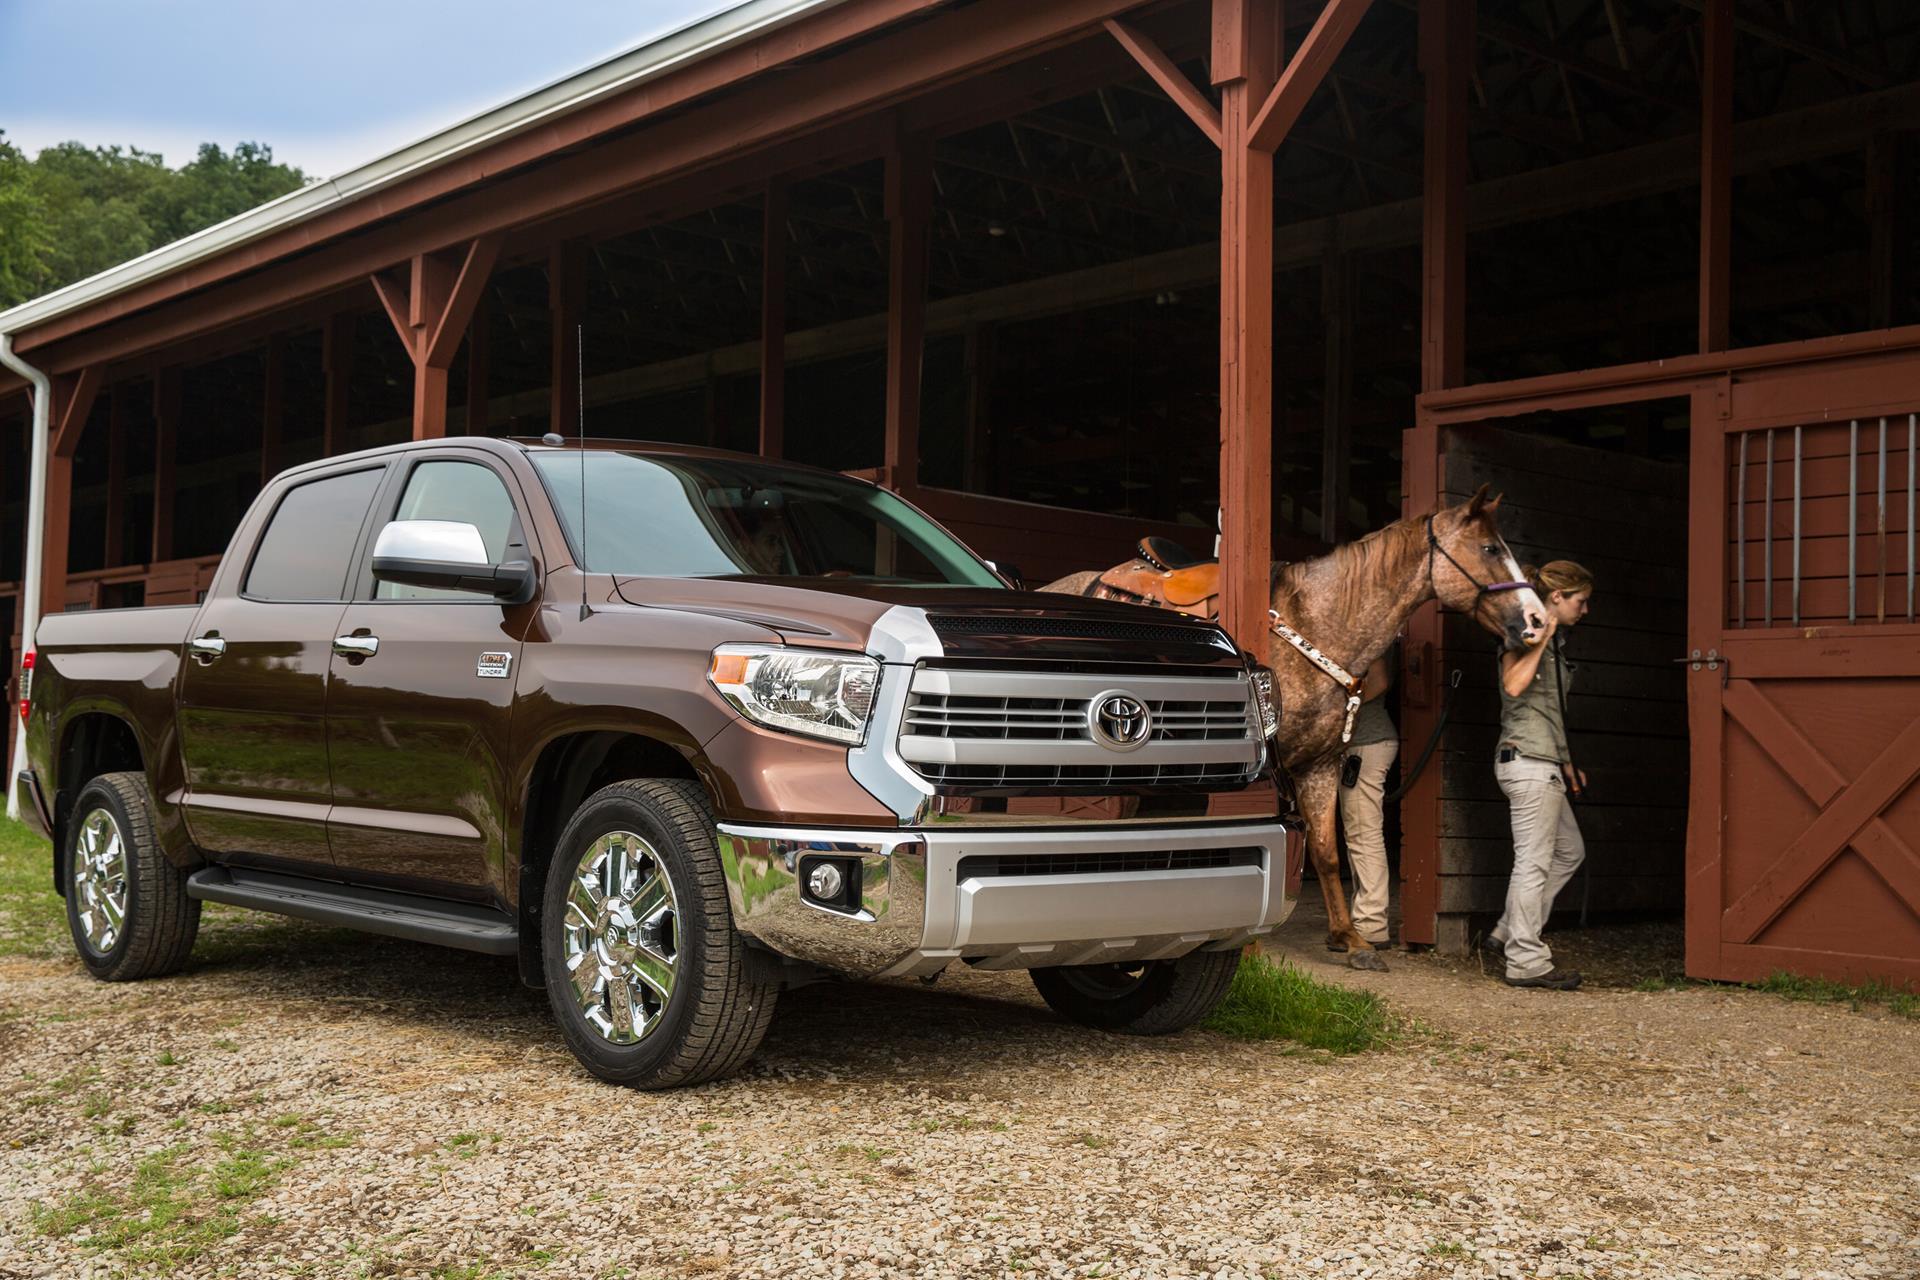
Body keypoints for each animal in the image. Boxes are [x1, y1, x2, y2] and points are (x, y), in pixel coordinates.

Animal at [1044, 491, 1551, 971]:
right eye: (1489, 547)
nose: (1537, 621)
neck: (1319, 623)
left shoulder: (1321, 765)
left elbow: (1325, 851)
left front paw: (1350, 939)